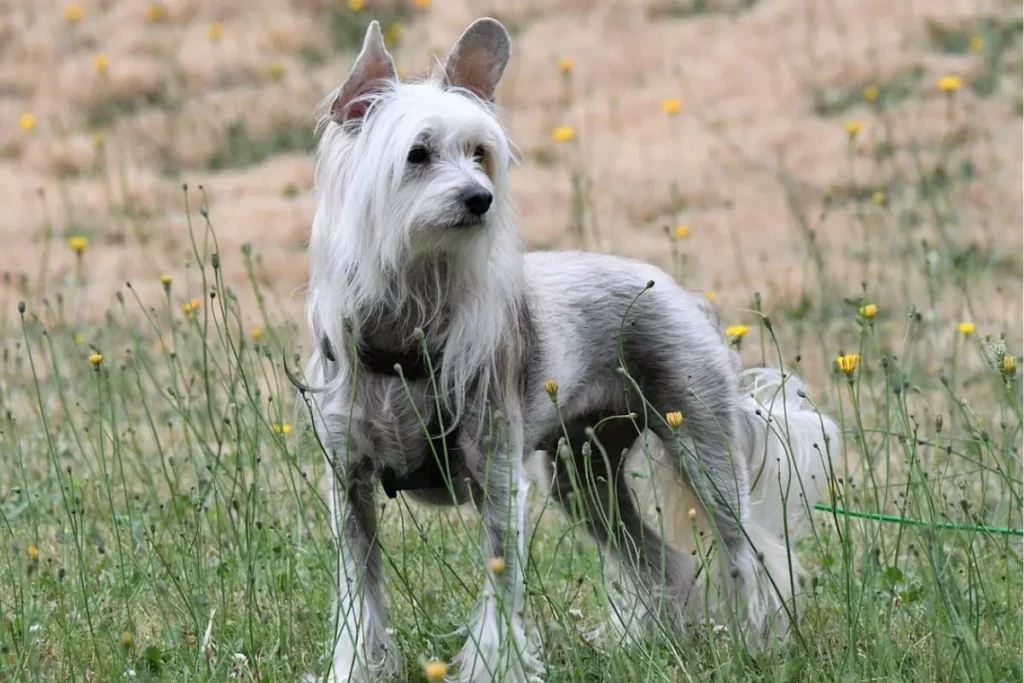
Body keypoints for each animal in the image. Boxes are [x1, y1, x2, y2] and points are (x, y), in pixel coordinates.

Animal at [299, 17, 839, 683]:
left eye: (480, 154)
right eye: (417, 154)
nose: (480, 199)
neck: (407, 332)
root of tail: (688, 298)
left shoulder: (500, 483)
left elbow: (499, 595)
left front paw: (493, 667)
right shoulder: (349, 486)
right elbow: (359, 598)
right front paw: (351, 668)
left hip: (702, 453)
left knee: (753, 558)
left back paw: (763, 646)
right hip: (584, 478)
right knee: (661, 561)